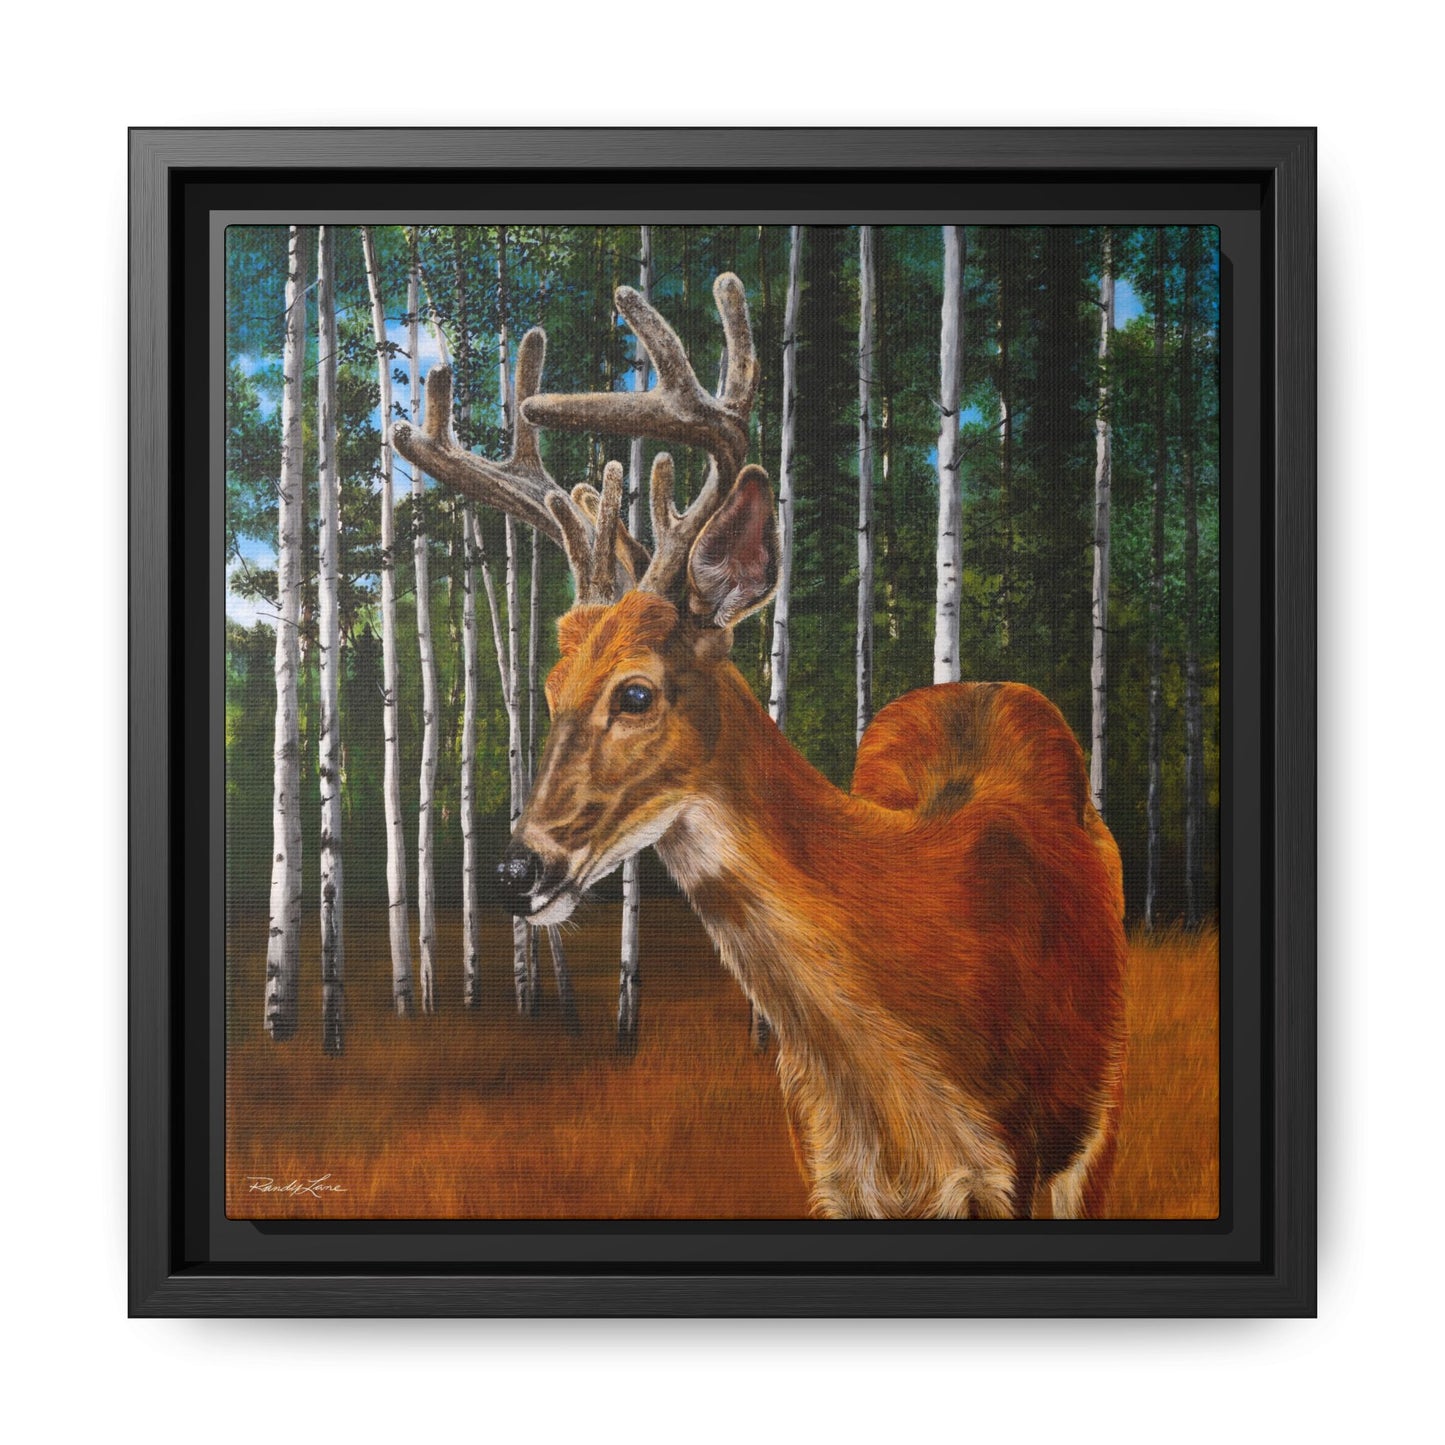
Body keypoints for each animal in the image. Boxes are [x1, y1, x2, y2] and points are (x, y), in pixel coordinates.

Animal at [391, 271, 1127, 1220]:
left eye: (635, 692)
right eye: (550, 690)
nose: (516, 870)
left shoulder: (1017, 1166)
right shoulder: (822, 1164)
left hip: (1097, 1125)